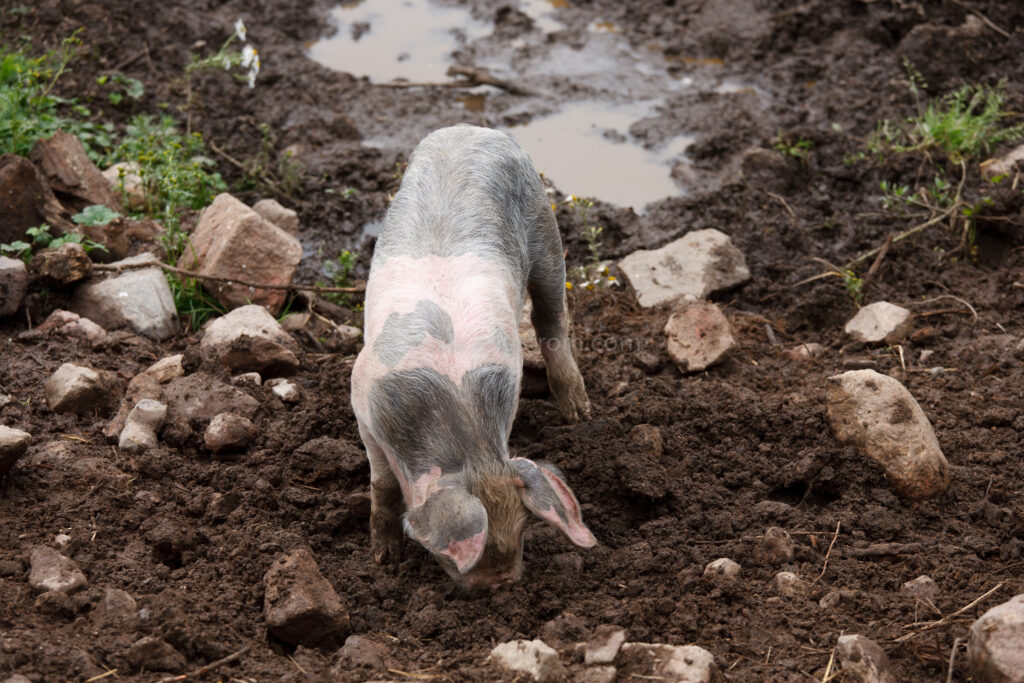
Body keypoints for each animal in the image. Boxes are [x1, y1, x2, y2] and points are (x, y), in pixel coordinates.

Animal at [352, 125, 598, 589]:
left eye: (523, 527)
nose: (499, 584)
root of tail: (473, 130)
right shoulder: (362, 404)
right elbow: (383, 486)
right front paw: (383, 560)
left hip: (545, 230)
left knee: (551, 319)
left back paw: (580, 414)